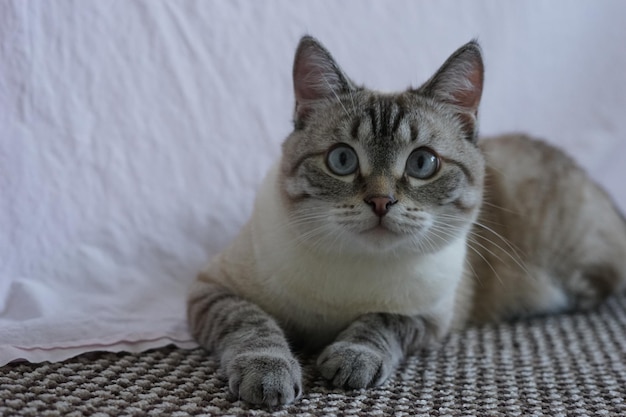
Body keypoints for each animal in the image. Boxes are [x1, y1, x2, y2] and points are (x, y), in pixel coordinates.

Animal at [185, 35, 624, 406]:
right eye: (342, 159)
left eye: (422, 163)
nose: (381, 201)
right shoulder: (212, 289)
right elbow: (252, 324)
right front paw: (268, 375)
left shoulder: (429, 317)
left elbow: (379, 322)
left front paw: (352, 358)